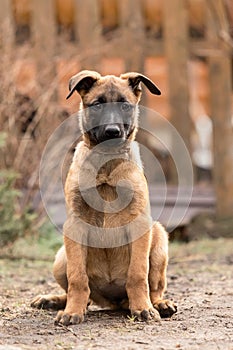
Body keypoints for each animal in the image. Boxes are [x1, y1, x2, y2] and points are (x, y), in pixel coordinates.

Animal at [31, 70, 177, 326]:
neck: (106, 166)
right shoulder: (76, 224)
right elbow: (78, 278)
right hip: (61, 257)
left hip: (158, 239)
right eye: (97, 105)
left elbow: (138, 274)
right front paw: (72, 312)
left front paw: (143, 309)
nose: (112, 131)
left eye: (125, 105)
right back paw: (55, 300)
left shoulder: (140, 224)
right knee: (82, 293)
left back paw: (158, 304)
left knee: (154, 287)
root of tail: (113, 301)